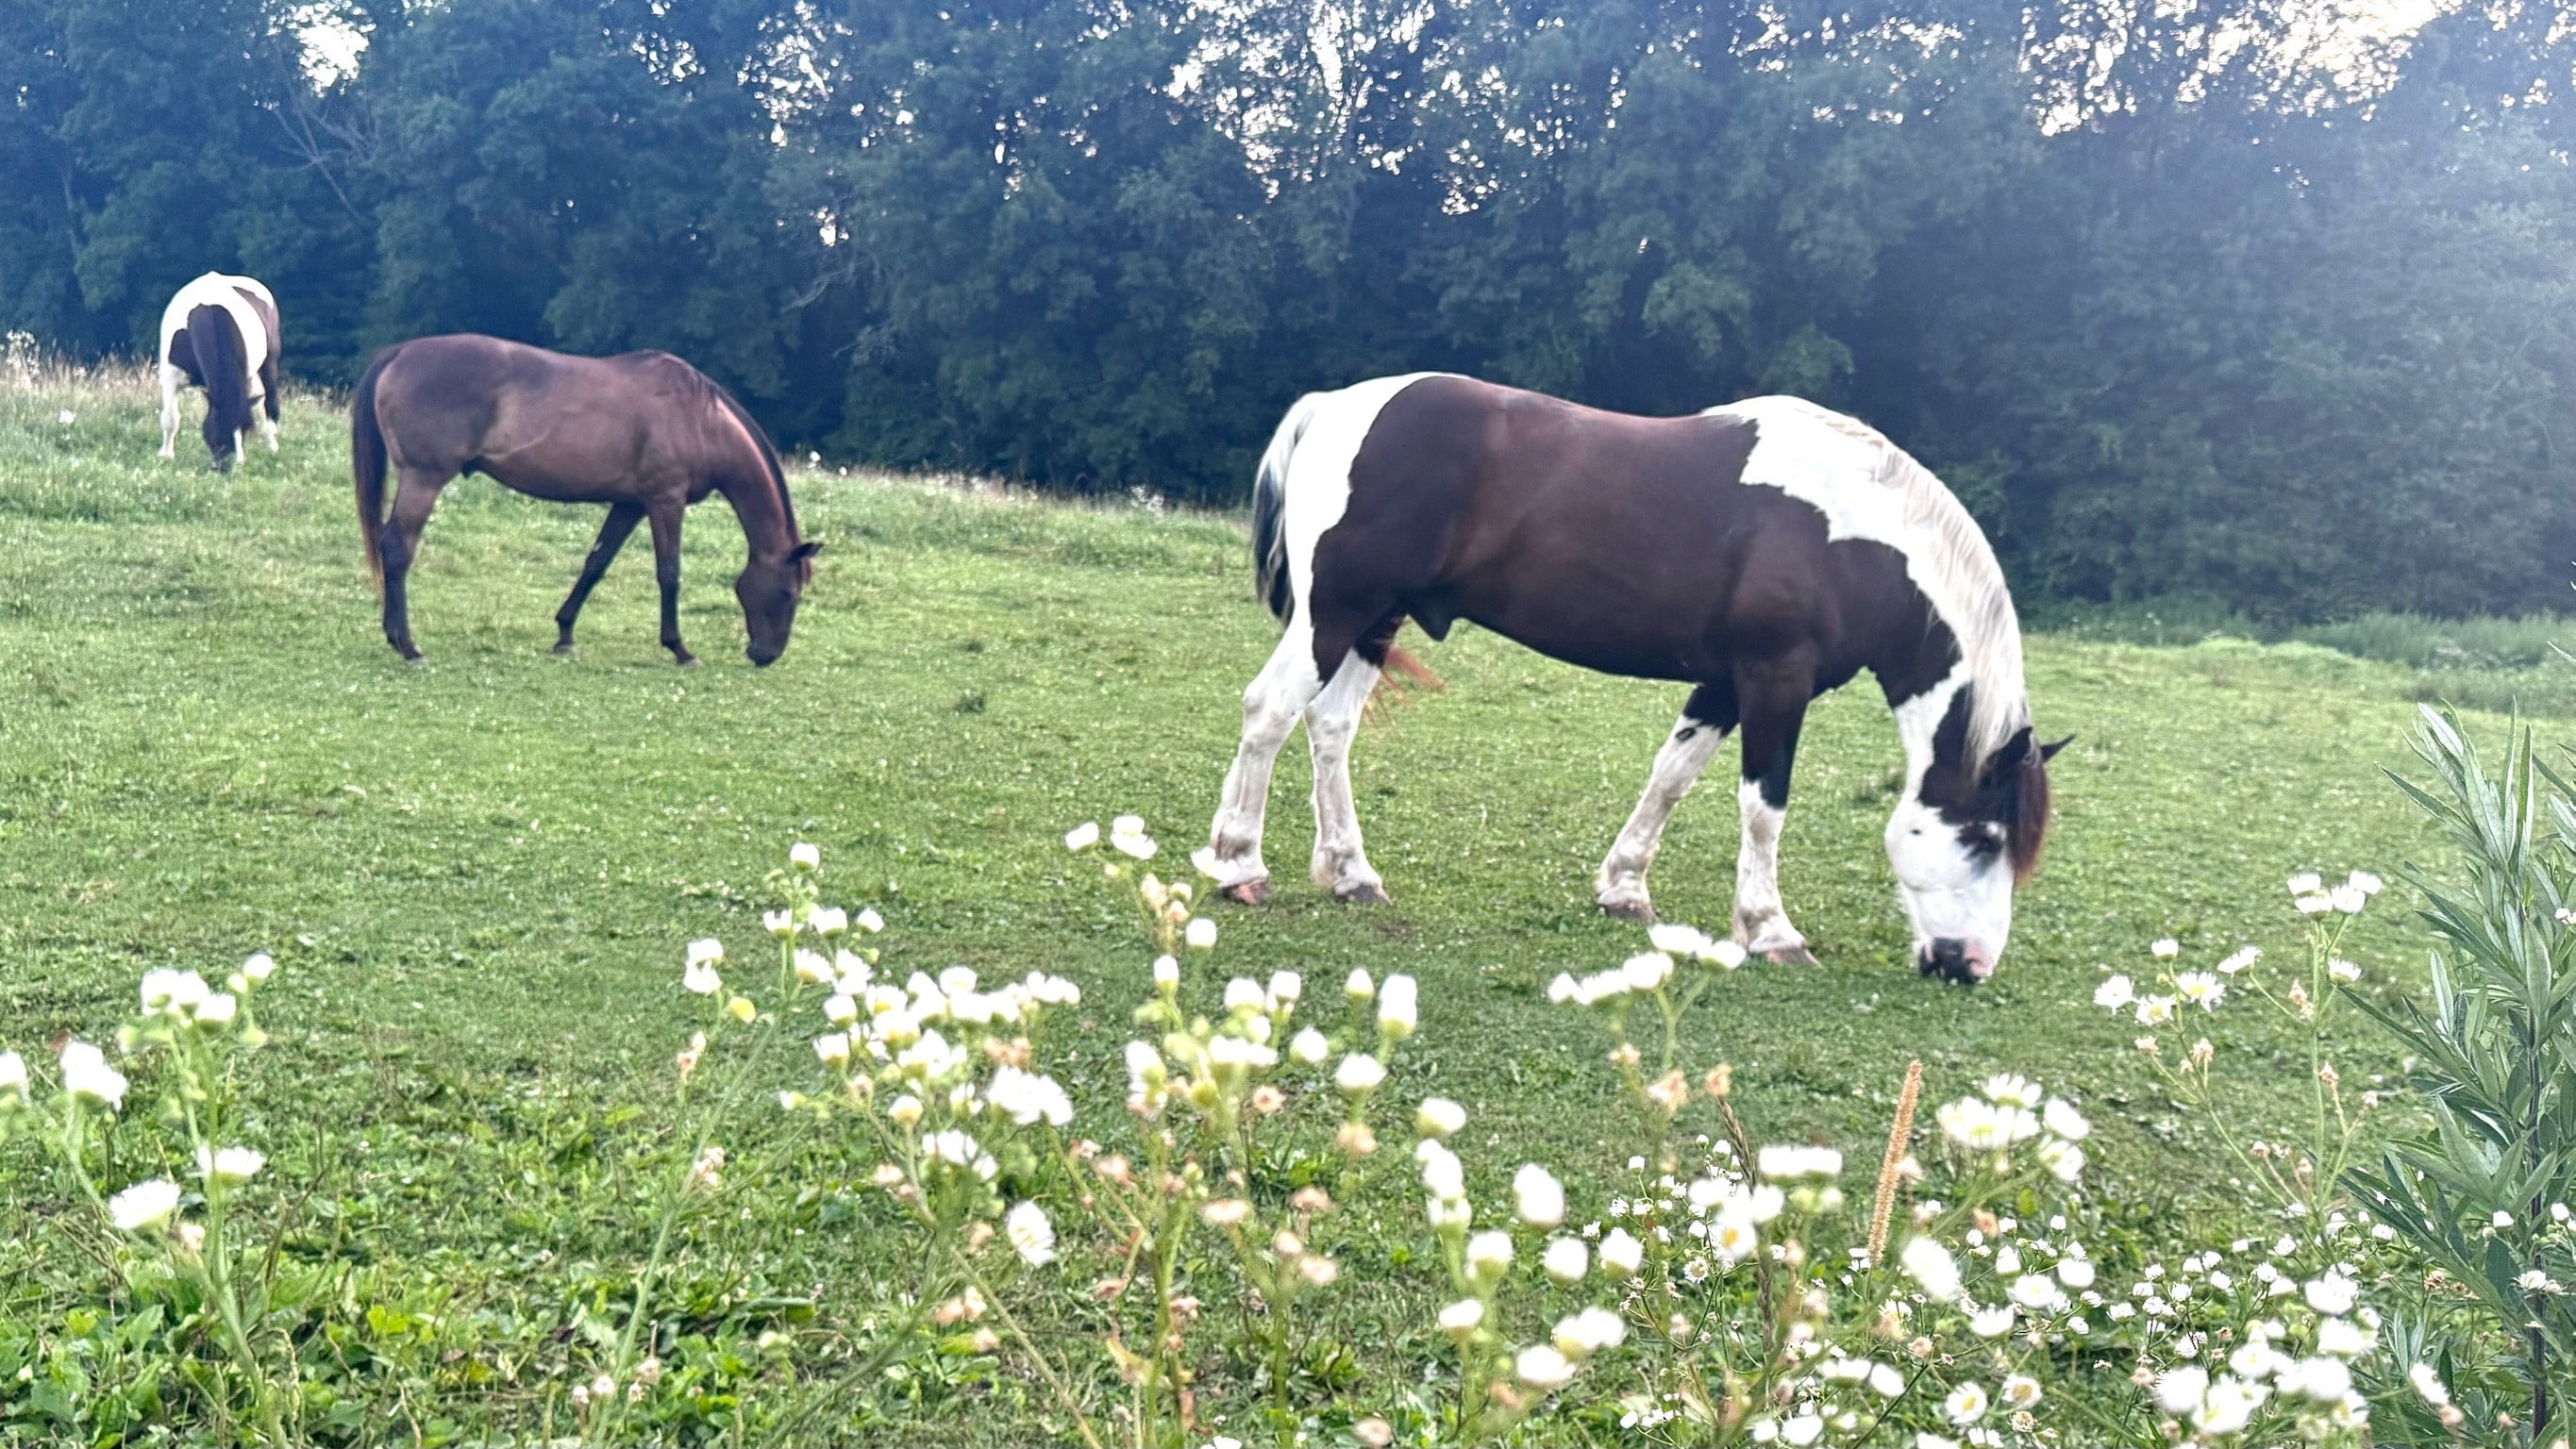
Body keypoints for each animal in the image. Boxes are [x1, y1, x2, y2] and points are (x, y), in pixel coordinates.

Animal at [158, 272, 280, 470]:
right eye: (217, 431)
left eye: (244, 430)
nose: (231, 468)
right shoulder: (171, 376)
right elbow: (170, 419)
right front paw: (166, 456)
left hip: (269, 361)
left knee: (269, 401)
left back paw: (272, 445)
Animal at [350, 334, 818, 667]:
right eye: (786, 593)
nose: (766, 655)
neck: (698, 420)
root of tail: (400, 352)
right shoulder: (665, 501)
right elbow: (669, 574)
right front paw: (680, 649)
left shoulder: (630, 504)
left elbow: (595, 565)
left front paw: (565, 635)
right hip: (423, 479)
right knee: (398, 548)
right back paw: (408, 646)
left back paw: (394, 636)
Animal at [1192, 374, 2066, 983]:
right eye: (1984, 837)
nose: (1971, 966)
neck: (1851, 533)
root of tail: (1335, 406)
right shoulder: (1775, 679)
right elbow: (1764, 809)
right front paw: (1770, 930)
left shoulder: (1724, 685)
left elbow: (1672, 776)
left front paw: (1623, 888)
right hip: (1335, 614)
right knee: (1269, 711)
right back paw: (1239, 865)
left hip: (1375, 621)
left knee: (1329, 727)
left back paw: (1352, 875)